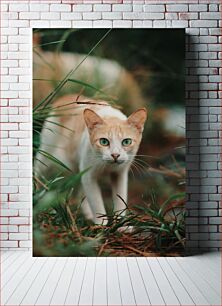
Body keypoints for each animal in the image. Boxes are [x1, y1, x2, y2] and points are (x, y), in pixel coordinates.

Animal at [35, 95, 147, 225]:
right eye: (104, 141)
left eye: (126, 142)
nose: (115, 155)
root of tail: (65, 97)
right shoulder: (89, 176)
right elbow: (96, 202)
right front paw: (101, 225)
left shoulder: (120, 174)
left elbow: (120, 200)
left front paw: (121, 224)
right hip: (48, 157)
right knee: (37, 171)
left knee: (80, 193)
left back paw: (88, 215)